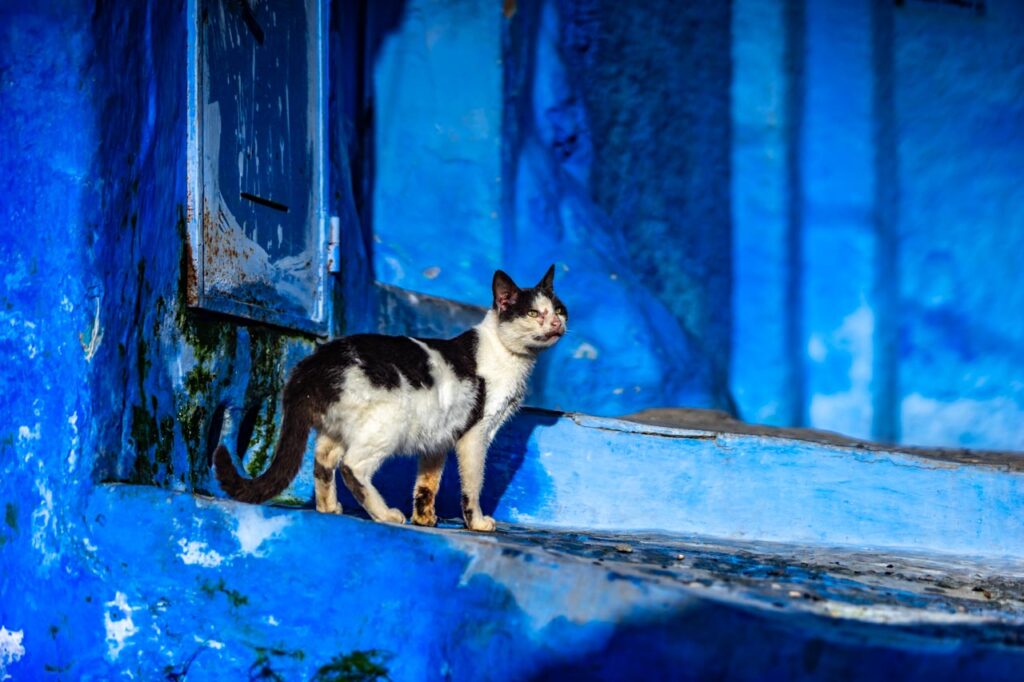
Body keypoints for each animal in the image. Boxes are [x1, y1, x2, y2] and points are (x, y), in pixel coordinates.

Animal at [216, 266, 569, 532]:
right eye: (533, 313)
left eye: (559, 309)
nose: (556, 323)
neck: (511, 357)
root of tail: (314, 362)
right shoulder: (475, 434)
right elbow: (473, 483)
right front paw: (477, 522)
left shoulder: (439, 436)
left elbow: (427, 483)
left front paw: (425, 518)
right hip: (389, 423)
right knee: (352, 467)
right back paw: (384, 514)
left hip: (342, 426)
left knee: (324, 458)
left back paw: (329, 507)